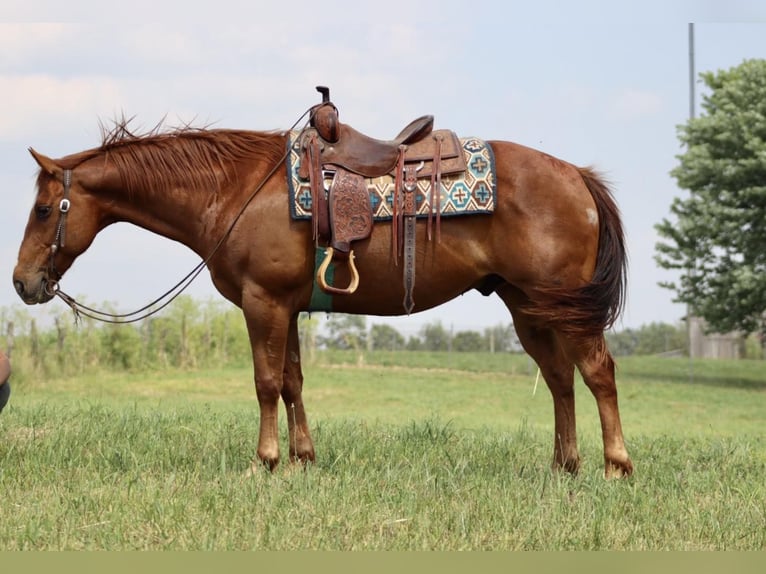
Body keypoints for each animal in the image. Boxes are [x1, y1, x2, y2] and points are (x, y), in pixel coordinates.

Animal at [12, 115, 636, 480]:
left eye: (43, 209)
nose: (21, 282)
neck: (235, 190)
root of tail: (577, 176)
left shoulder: (263, 302)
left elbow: (266, 383)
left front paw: (265, 462)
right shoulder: (284, 306)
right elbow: (291, 381)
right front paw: (302, 459)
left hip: (567, 307)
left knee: (598, 373)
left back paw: (616, 465)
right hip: (529, 306)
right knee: (559, 378)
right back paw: (564, 466)